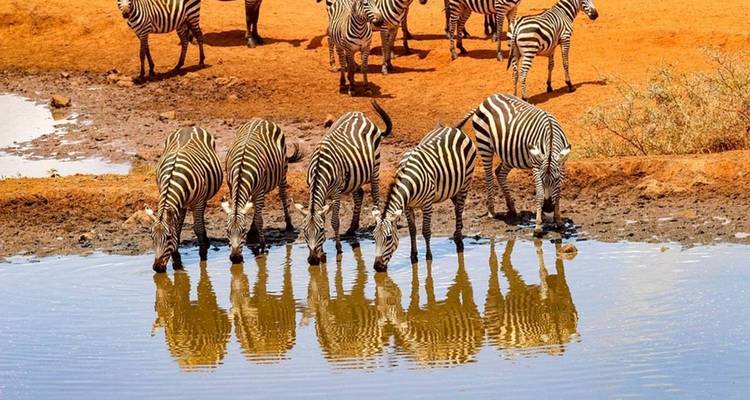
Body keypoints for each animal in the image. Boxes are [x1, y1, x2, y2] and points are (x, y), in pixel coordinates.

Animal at [145, 127, 223, 272]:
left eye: (168, 237)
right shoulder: (177, 204)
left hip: (201, 199)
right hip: (182, 204)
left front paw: (203, 253)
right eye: (152, 237)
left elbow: (197, 228)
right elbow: (177, 228)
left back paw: (206, 241)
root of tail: (190, 127)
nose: (157, 268)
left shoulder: (198, 202)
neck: (174, 177)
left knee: (200, 219)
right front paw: (176, 257)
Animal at [221, 118, 303, 263]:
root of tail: (260, 119)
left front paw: (262, 246)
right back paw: (253, 231)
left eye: (242, 230)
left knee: (282, 195)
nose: (235, 258)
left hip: (282, 171)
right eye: (227, 230)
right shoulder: (231, 186)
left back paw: (288, 224)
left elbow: (260, 219)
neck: (241, 171)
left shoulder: (259, 191)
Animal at [294, 100, 393, 265]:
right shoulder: (319, 191)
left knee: (375, 194)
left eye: (320, 230)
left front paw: (338, 248)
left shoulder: (336, 192)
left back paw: (375, 222)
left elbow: (335, 221)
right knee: (359, 194)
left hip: (375, 167)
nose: (312, 260)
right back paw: (352, 228)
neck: (319, 169)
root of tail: (360, 114)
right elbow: (323, 216)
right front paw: (321, 253)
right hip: (355, 175)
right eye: (304, 231)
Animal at [372, 124, 476, 271]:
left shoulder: (427, 204)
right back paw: (458, 231)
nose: (377, 267)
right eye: (374, 237)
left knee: (459, 209)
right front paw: (413, 256)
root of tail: (453, 128)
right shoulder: (408, 207)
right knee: (457, 206)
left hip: (465, 181)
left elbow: (426, 231)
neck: (410, 180)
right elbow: (412, 231)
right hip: (452, 186)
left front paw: (428, 257)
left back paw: (459, 239)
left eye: (389, 238)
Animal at [456, 93, 571, 234]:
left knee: (499, 173)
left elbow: (558, 192)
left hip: (510, 153)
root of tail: (487, 99)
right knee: (489, 176)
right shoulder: (536, 166)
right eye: (542, 179)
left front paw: (558, 220)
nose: (548, 208)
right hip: (484, 143)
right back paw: (491, 211)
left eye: (556, 179)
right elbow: (539, 194)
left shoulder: (561, 166)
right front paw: (538, 225)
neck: (550, 136)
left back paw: (511, 207)